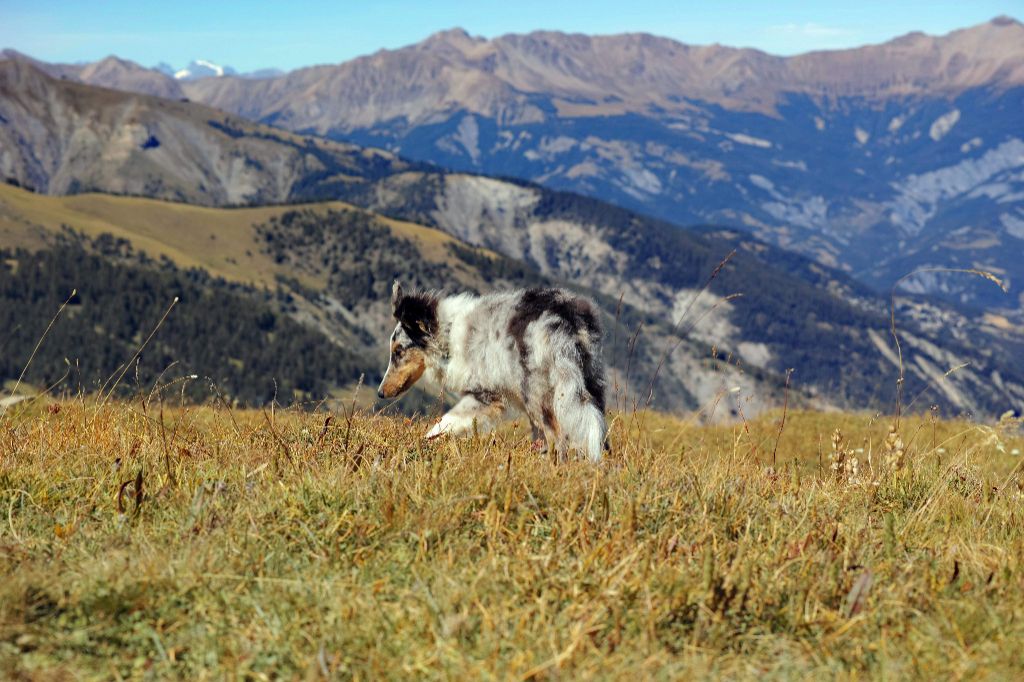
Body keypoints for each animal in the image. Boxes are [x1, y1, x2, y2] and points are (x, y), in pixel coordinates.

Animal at [378, 278, 606, 458]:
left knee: (557, 435)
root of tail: (565, 316)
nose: (380, 393)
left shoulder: (484, 395)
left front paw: (421, 443)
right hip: (588, 384)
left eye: (398, 351)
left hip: (537, 393)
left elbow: (444, 422)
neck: (448, 335)